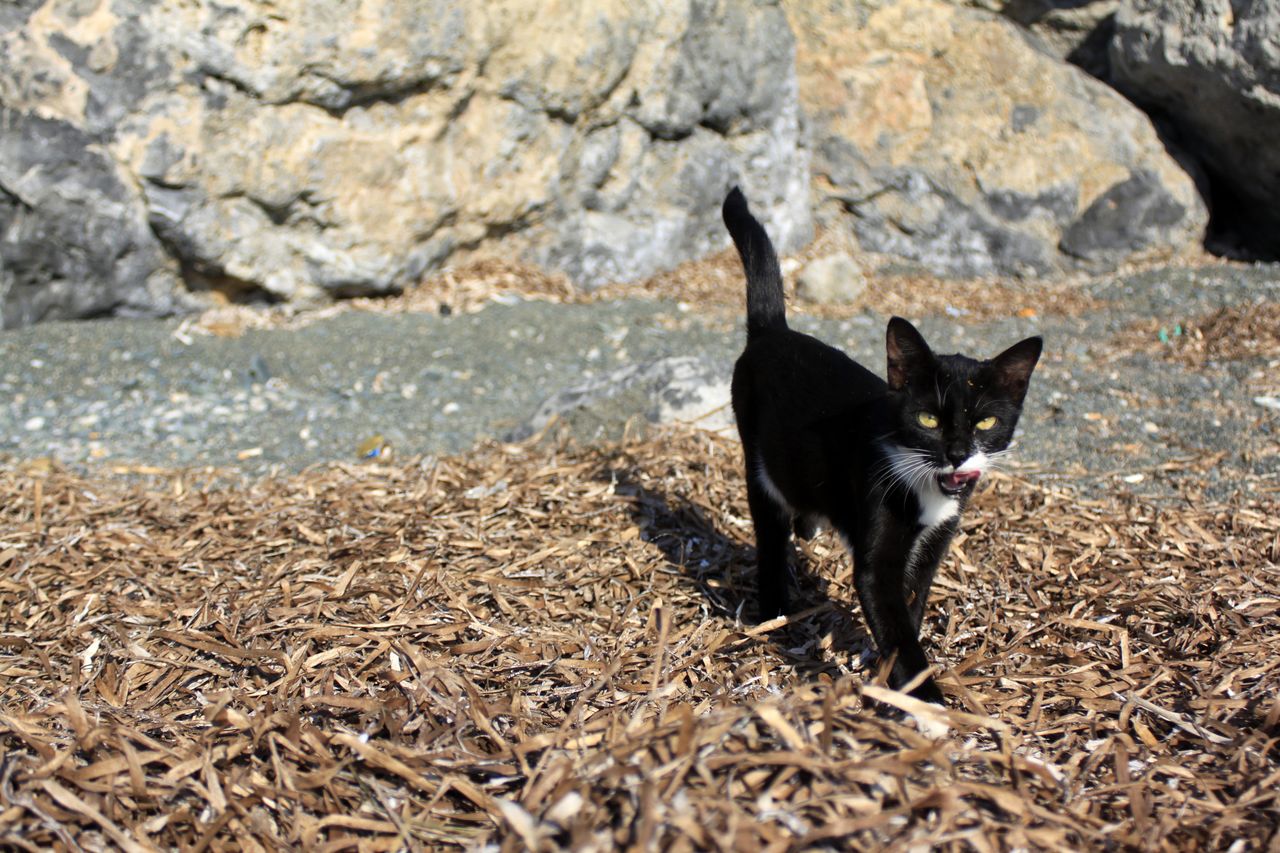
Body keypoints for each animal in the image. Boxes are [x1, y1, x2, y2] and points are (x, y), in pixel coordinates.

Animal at [721, 189, 1039, 701]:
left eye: (986, 421)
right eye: (928, 418)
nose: (956, 453)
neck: (925, 485)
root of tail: (773, 331)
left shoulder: (935, 543)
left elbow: (912, 604)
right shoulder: (877, 539)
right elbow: (893, 620)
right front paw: (927, 703)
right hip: (758, 458)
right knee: (770, 531)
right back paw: (772, 612)